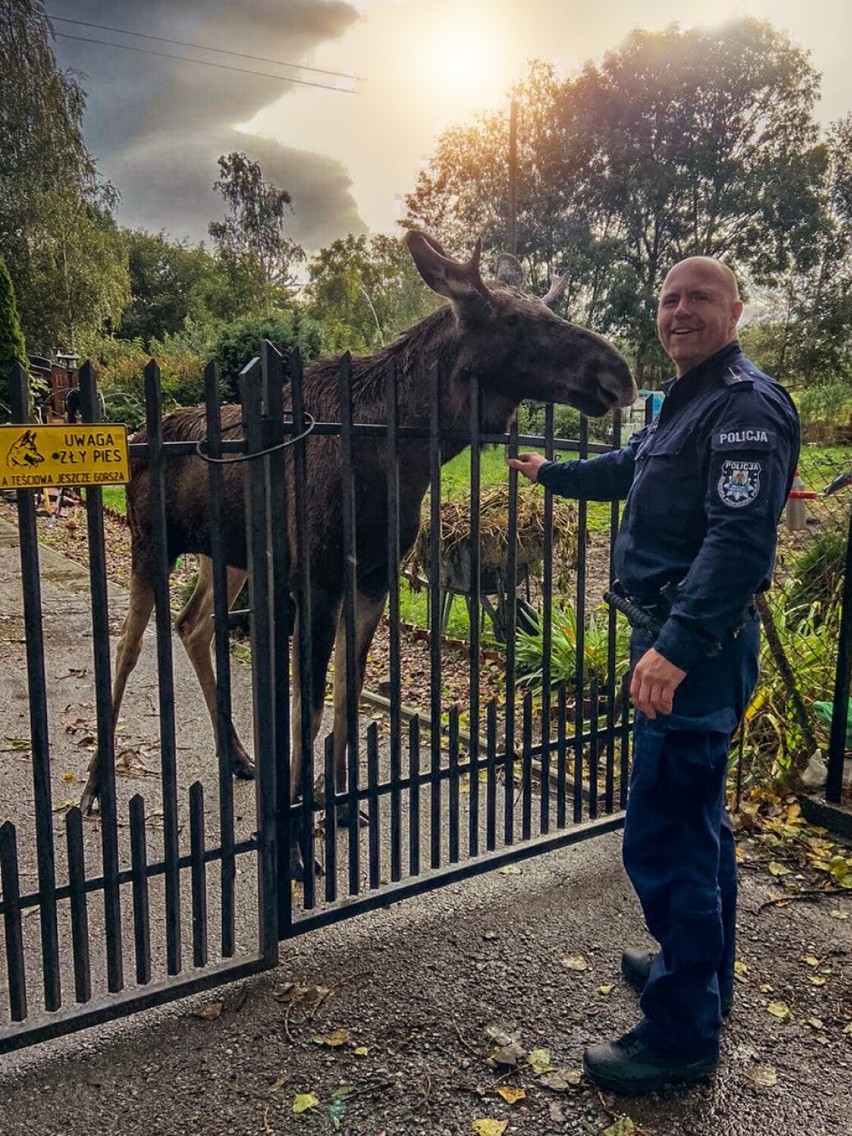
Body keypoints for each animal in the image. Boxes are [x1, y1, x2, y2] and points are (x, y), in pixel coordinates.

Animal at [80, 228, 636, 867]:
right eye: (517, 320)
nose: (620, 375)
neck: (405, 458)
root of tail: (139, 435)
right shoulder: (317, 578)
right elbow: (310, 703)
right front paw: (299, 843)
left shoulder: (373, 577)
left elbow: (346, 693)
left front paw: (340, 805)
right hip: (151, 543)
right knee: (125, 648)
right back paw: (95, 785)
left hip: (228, 556)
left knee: (191, 623)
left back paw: (239, 756)